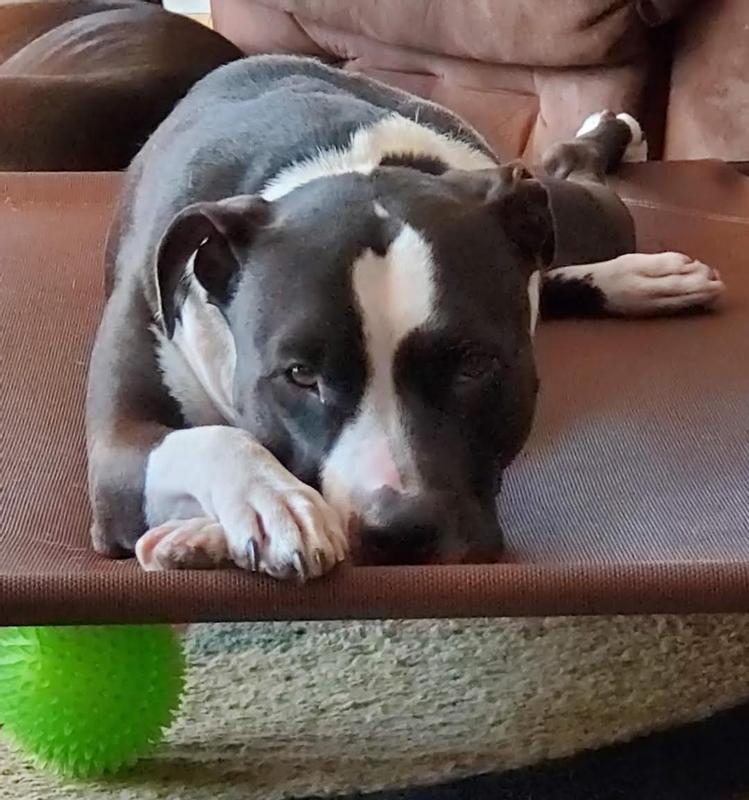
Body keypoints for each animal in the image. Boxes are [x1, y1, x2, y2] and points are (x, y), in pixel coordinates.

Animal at [86, 56, 724, 578]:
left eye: (474, 365)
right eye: (299, 375)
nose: (399, 529)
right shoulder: (119, 448)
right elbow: (214, 438)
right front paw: (267, 505)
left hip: (583, 213)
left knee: (571, 173)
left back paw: (619, 166)